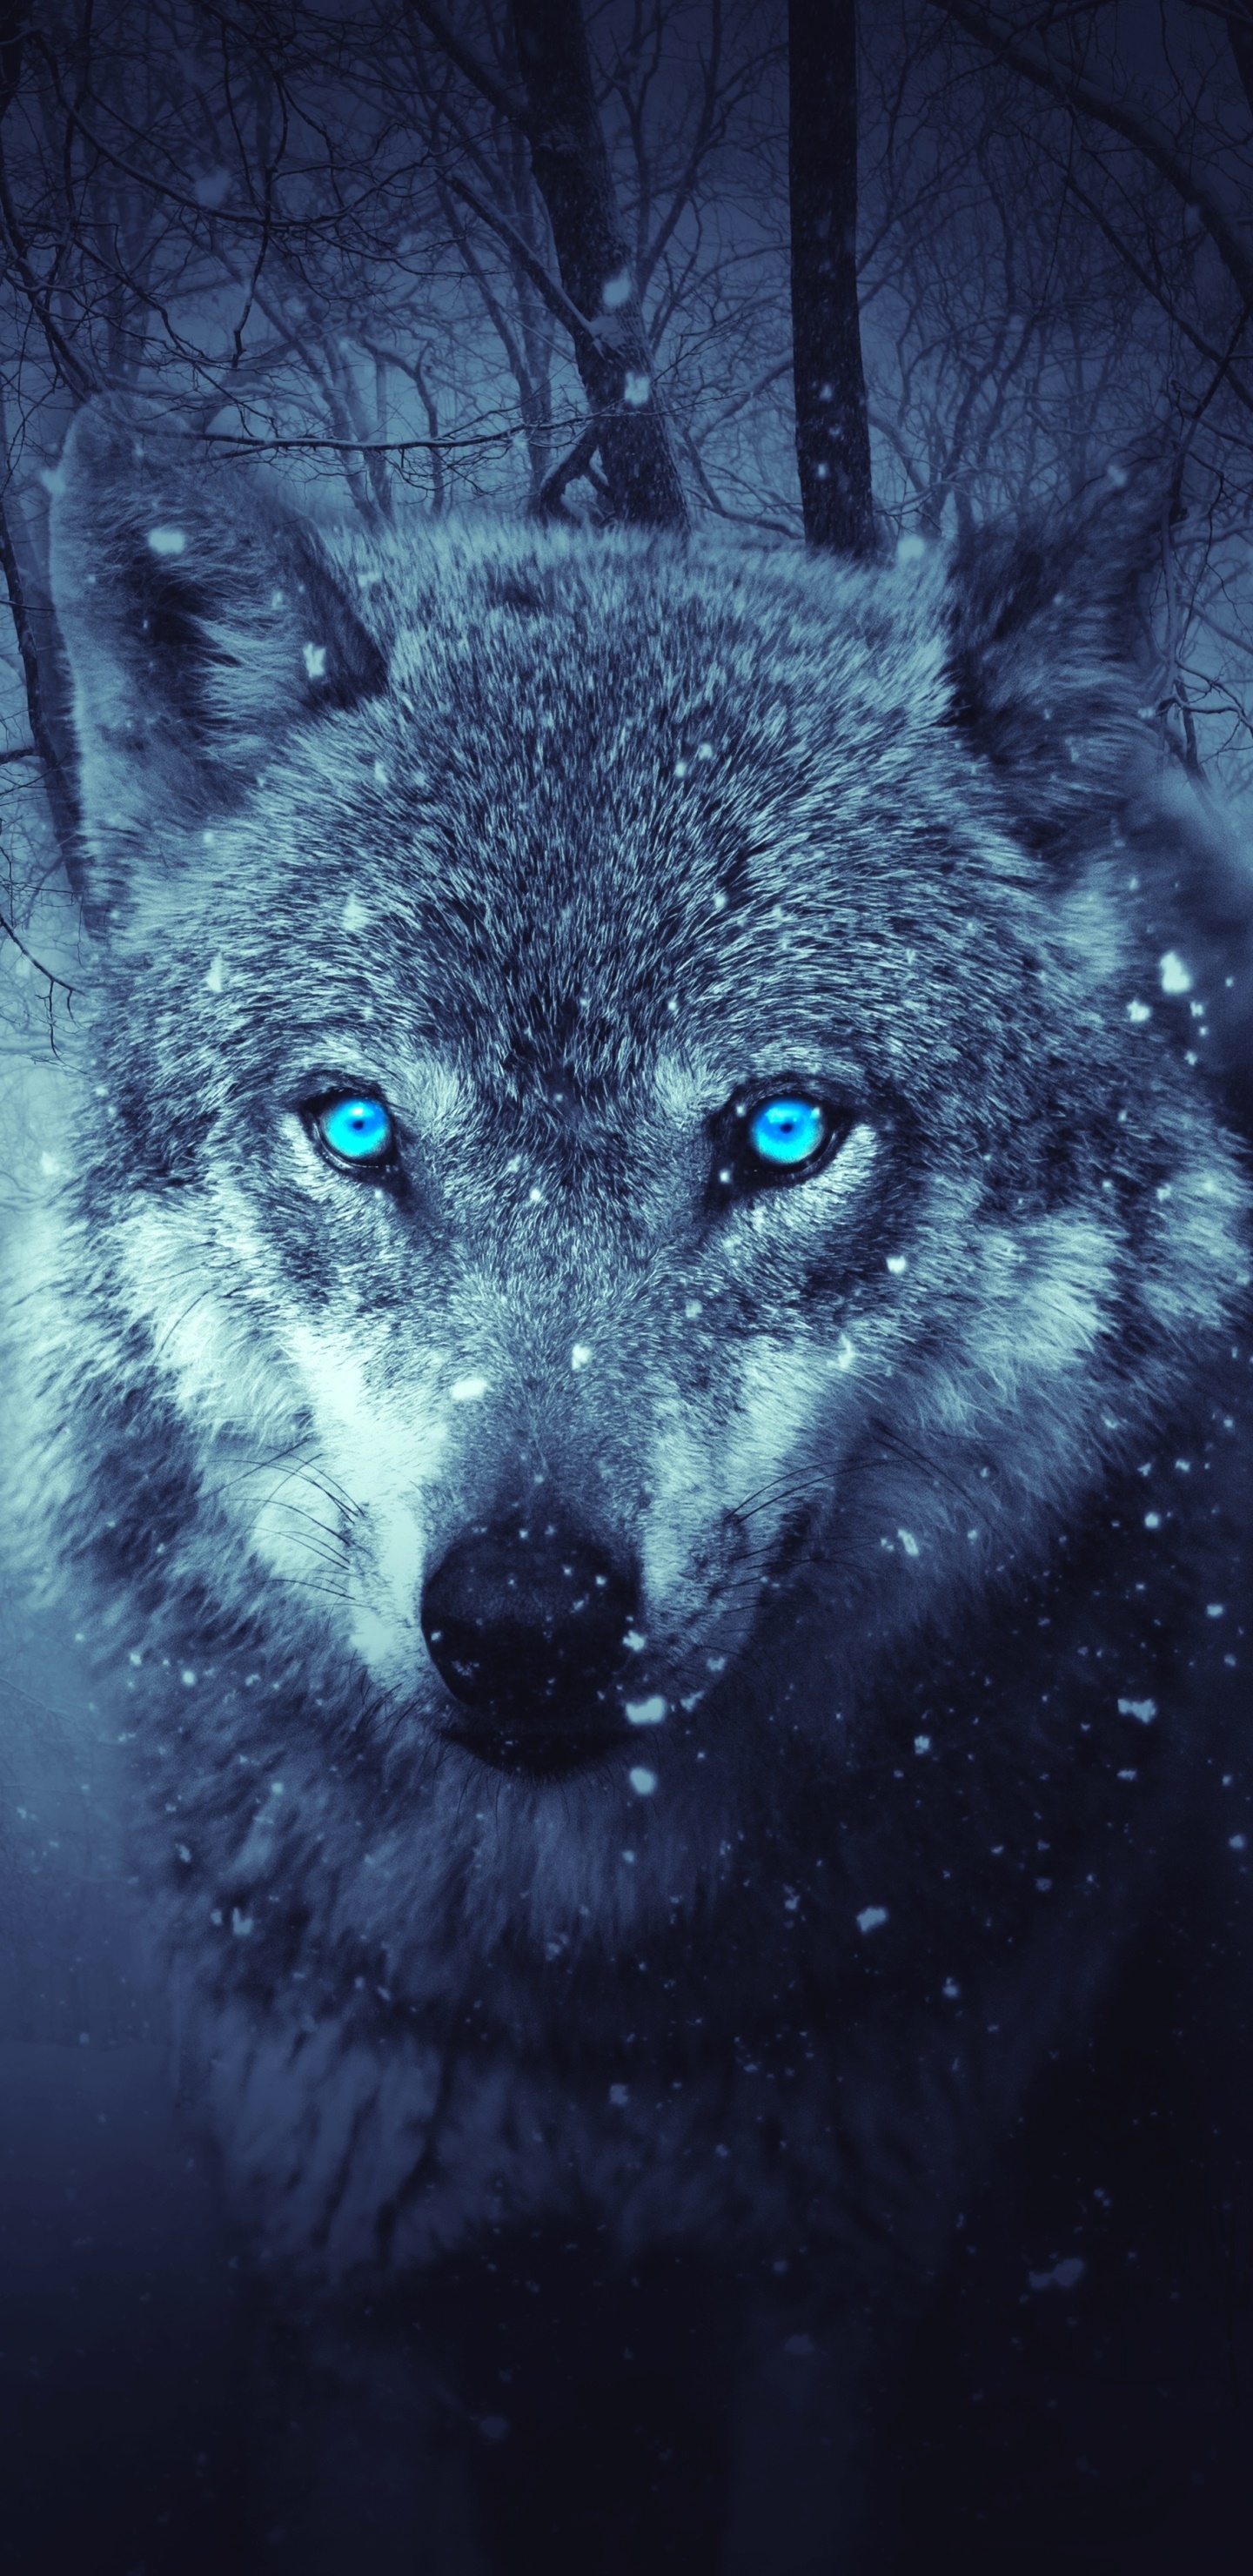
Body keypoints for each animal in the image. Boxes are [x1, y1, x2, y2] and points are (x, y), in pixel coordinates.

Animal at [3, 402, 1251, 2570]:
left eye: (783, 1129)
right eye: (357, 1127)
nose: (524, 1620)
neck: (587, 2006)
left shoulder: (836, 2303)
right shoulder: (357, 2300)